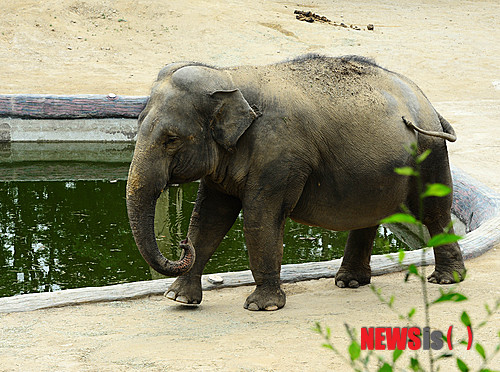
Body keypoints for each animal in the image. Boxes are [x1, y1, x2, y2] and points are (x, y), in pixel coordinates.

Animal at [126, 55, 464, 310]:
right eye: (138, 124)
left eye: (171, 140)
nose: (182, 245)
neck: (229, 75)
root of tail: (430, 104)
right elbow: (210, 217)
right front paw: (179, 299)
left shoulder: (280, 154)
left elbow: (259, 217)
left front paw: (262, 306)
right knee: (369, 214)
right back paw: (349, 282)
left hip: (428, 152)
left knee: (432, 212)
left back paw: (447, 280)